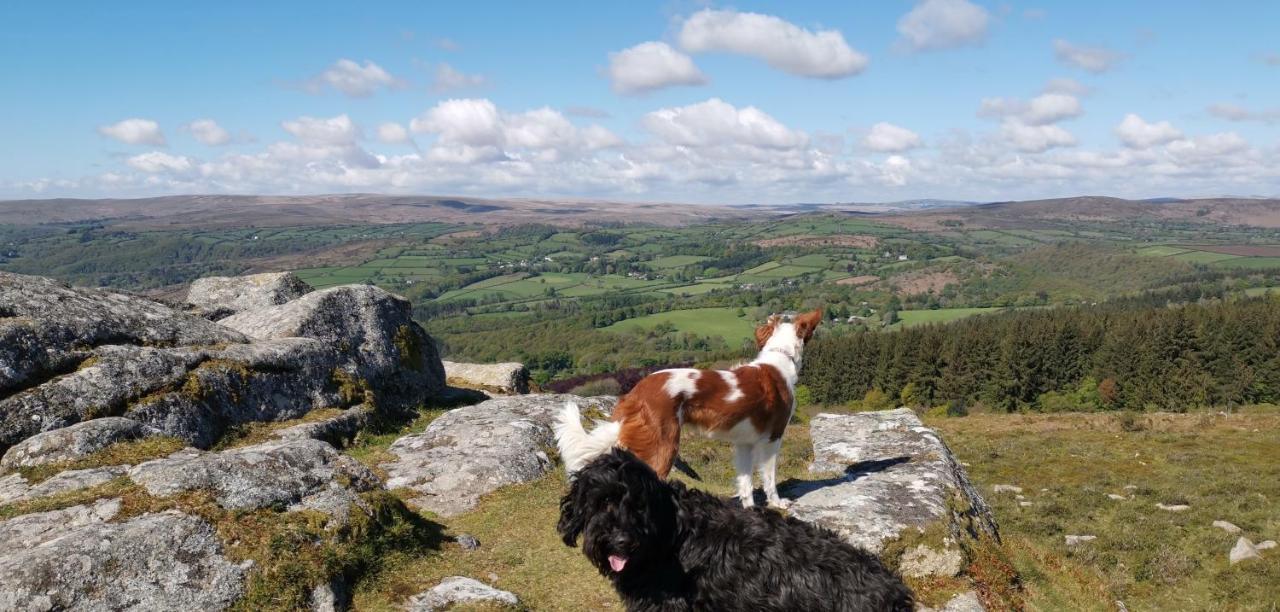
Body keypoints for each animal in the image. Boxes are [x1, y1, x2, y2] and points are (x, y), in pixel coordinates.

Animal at [558, 308, 819, 509]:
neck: (779, 359)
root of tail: (635, 393)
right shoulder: (773, 438)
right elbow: (770, 477)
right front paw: (777, 503)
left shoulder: (743, 443)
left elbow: (745, 483)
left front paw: (750, 510)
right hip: (663, 447)